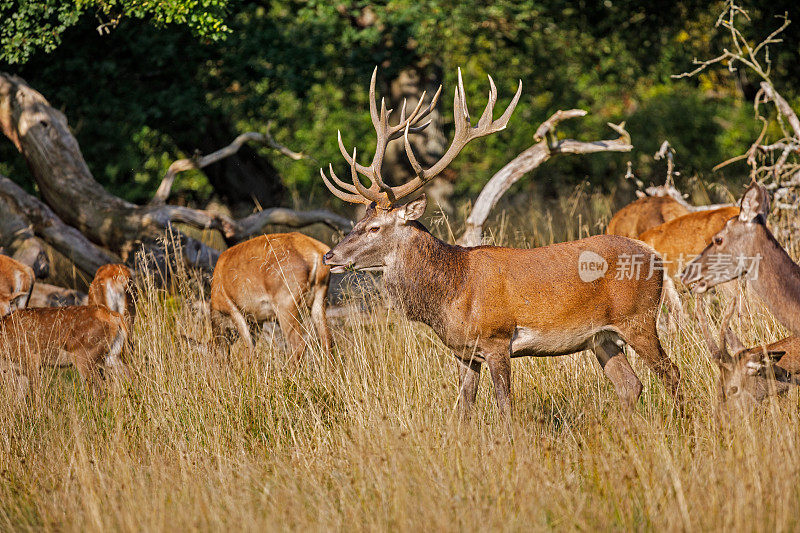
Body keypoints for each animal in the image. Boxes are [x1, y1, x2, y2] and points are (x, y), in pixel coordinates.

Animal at [318, 67, 680, 416]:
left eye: (375, 228)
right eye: (357, 223)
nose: (329, 256)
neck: (452, 291)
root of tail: (653, 255)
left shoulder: (497, 339)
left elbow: (505, 407)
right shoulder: (464, 352)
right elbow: (463, 409)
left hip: (638, 317)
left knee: (671, 373)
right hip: (601, 337)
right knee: (630, 384)